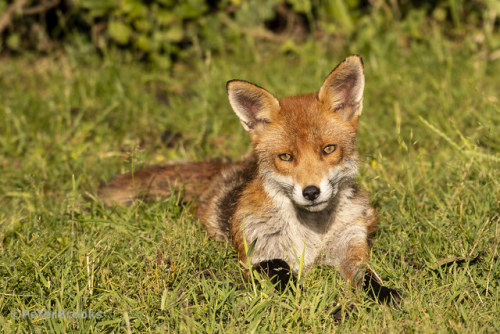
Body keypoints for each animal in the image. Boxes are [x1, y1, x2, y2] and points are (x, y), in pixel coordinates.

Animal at [99, 55, 400, 302]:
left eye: (328, 149)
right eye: (286, 156)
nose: (311, 192)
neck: (312, 233)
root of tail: (233, 166)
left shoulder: (350, 246)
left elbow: (366, 275)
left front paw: (384, 294)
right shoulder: (254, 254)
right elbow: (278, 267)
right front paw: (299, 294)